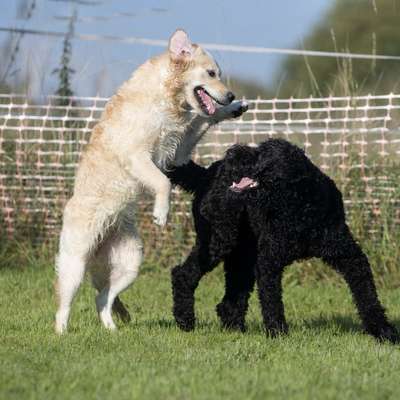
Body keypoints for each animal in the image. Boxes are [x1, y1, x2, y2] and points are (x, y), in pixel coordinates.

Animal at [166, 138, 400, 344]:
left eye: (263, 153)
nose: (231, 152)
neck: (301, 204)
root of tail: (206, 173)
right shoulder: (269, 261)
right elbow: (272, 300)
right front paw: (278, 332)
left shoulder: (349, 256)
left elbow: (367, 295)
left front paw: (384, 332)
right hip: (218, 242)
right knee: (183, 274)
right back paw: (185, 321)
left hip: (242, 254)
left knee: (231, 296)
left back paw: (234, 328)